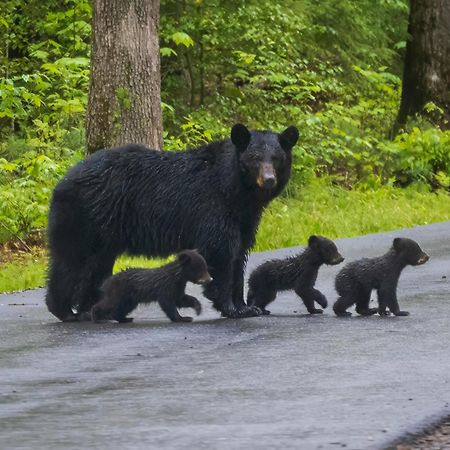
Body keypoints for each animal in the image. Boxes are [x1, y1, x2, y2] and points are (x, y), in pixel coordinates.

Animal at [46, 123, 298, 320]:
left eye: (276, 158)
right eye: (255, 159)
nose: (268, 179)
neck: (235, 191)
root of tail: (63, 181)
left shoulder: (245, 219)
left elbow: (239, 254)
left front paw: (248, 307)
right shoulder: (213, 207)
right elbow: (221, 251)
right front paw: (231, 308)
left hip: (105, 232)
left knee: (95, 267)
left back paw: (89, 308)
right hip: (85, 218)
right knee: (72, 261)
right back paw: (65, 310)